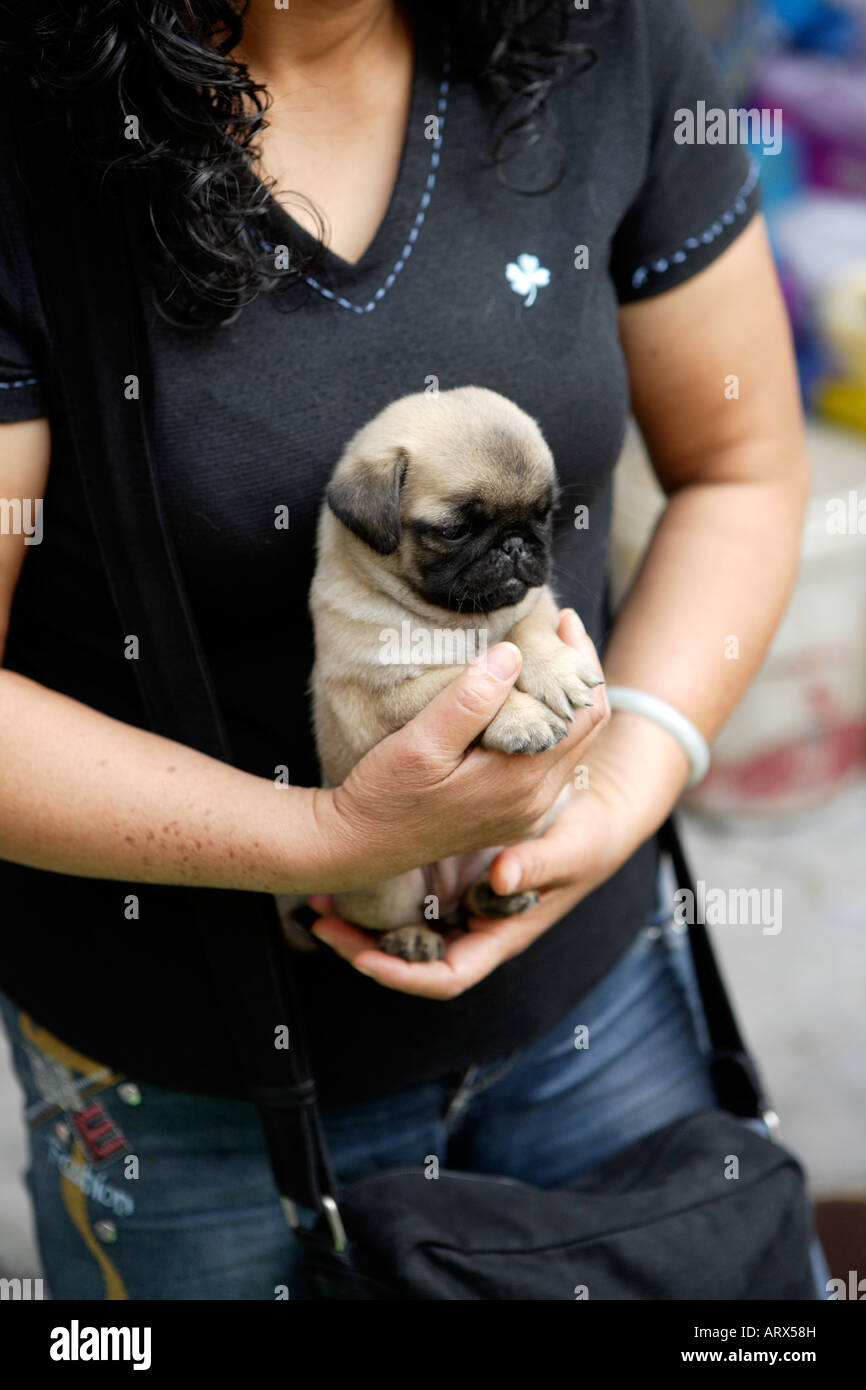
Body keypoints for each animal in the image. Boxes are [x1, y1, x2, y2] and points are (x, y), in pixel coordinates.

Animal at [278, 386, 603, 961]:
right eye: (455, 531)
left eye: (543, 517)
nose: (516, 544)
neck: (461, 619)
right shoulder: (386, 698)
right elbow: (459, 676)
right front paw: (522, 718)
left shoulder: (534, 602)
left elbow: (527, 632)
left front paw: (556, 671)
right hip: (391, 881)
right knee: (385, 918)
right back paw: (410, 937)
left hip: (522, 836)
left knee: (479, 890)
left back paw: (496, 898)